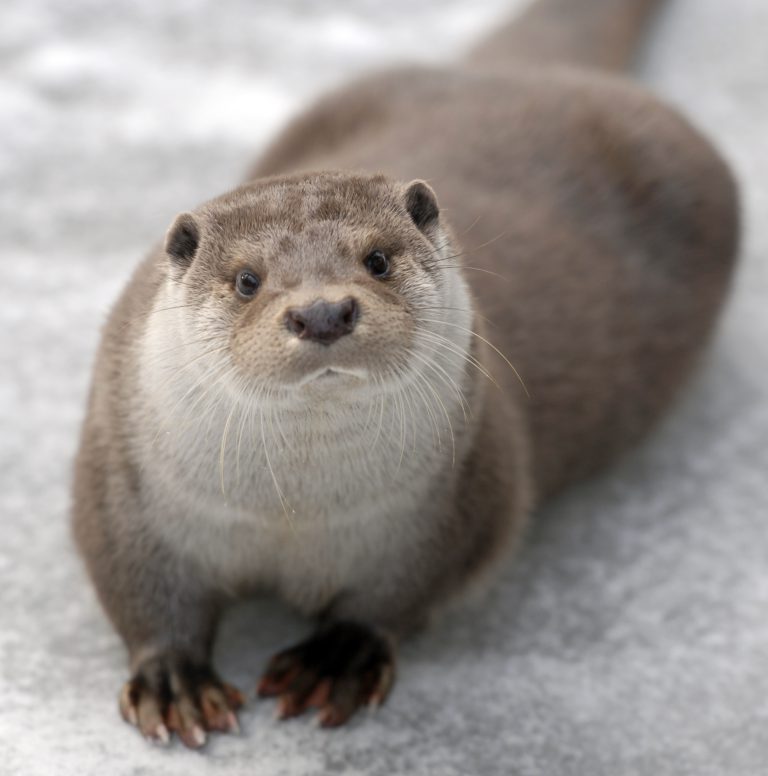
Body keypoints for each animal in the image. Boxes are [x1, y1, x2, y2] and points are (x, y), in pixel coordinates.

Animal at [72, 0, 736, 752]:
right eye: (247, 280)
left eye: (379, 260)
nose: (323, 312)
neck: (292, 512)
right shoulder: (122, 479)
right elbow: (138, 584)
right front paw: (174, 679)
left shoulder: (463, 491)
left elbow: (401, 594)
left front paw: (338, 656)